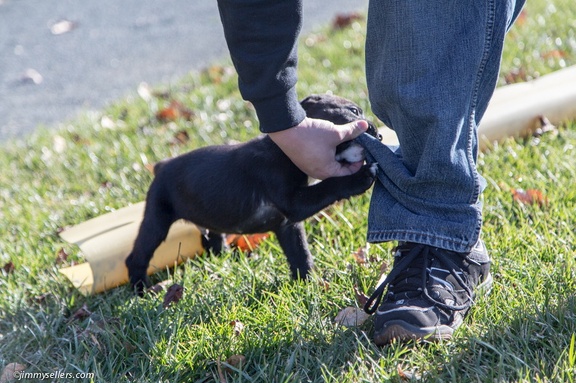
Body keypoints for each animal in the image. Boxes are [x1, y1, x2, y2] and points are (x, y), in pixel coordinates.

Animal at [125, 94, 378, 292]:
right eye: (354, 111)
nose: (378, 133)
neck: (281, 151)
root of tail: (161, 166)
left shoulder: (288, 226)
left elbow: (301, 255)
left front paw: (307, 284)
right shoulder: (294, 202)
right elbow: (329, 186)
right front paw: (360, 177)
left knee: (212, 239)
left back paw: (225, 257)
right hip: (157, 222)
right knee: (137, 256)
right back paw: (141, 290)